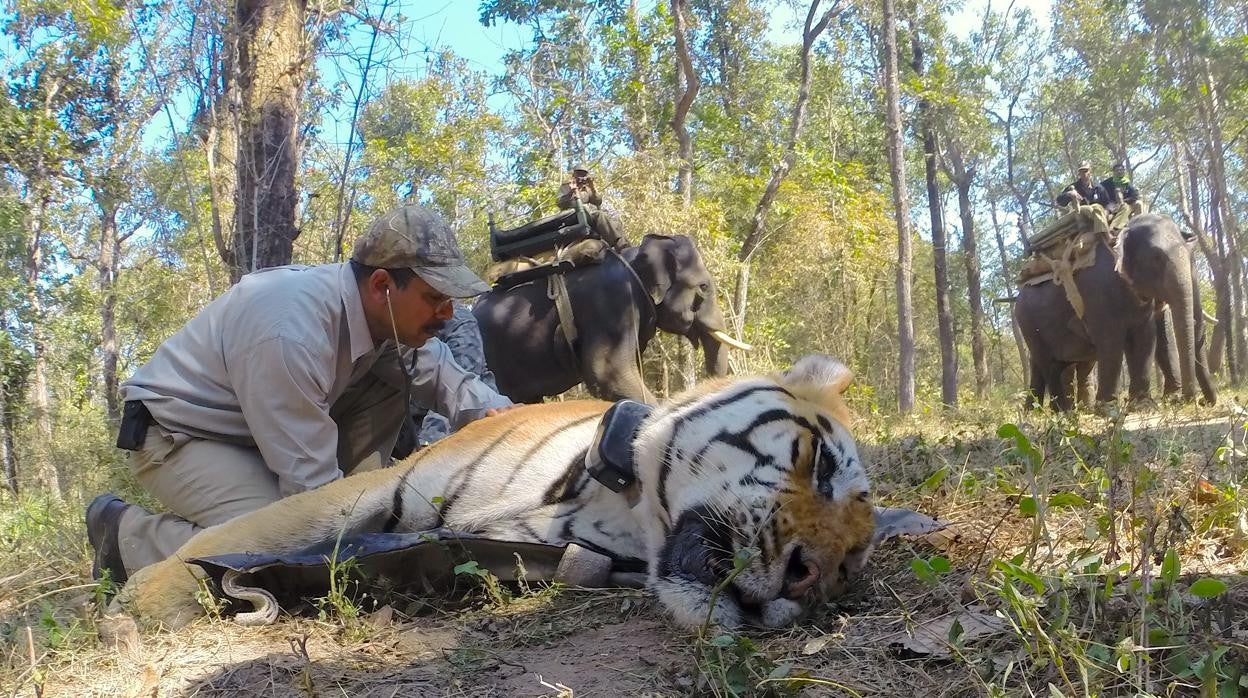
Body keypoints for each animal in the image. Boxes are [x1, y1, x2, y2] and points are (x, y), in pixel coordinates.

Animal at [117, 352, 878, 631]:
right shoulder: (375, 486)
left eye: (848, 567)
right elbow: (249, 531)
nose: (809, 577)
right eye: (816, 462)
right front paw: (139, 605)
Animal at [1013, 213, 1218, 409]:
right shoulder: (1098, 293)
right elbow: (1110, 340)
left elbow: (1147, 336)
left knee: (1057, 364)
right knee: (1050, 364)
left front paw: (1144, 405)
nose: (1201, 401)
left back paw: (1050, 410)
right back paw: (1062, 411)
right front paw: (1108, 407)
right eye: (1156, 258)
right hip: (1027, 323)